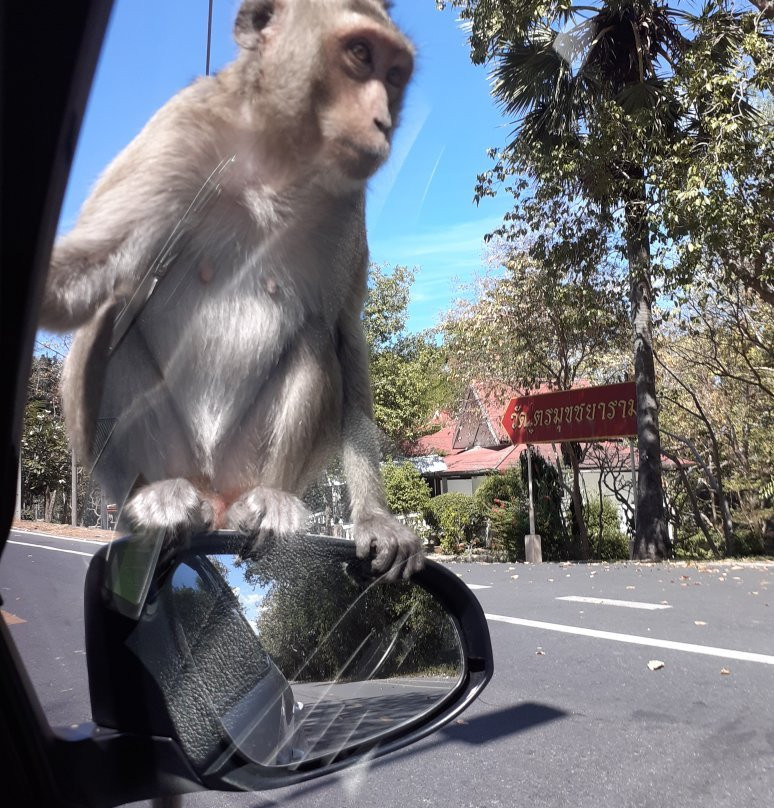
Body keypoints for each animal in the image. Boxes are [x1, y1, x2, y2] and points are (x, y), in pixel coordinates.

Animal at [39, 0, 424, 580]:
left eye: (396, 75)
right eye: (360, 54)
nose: (382, 122)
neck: (277, 163)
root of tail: (212, 489)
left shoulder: (345, 203)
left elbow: (343, 330)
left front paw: (376, 518)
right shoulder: (178, 130)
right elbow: (92, 274)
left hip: (241, 461)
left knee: (315, 341)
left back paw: (266, 504)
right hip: (168, 453)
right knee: (109, 324)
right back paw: (155, 501)